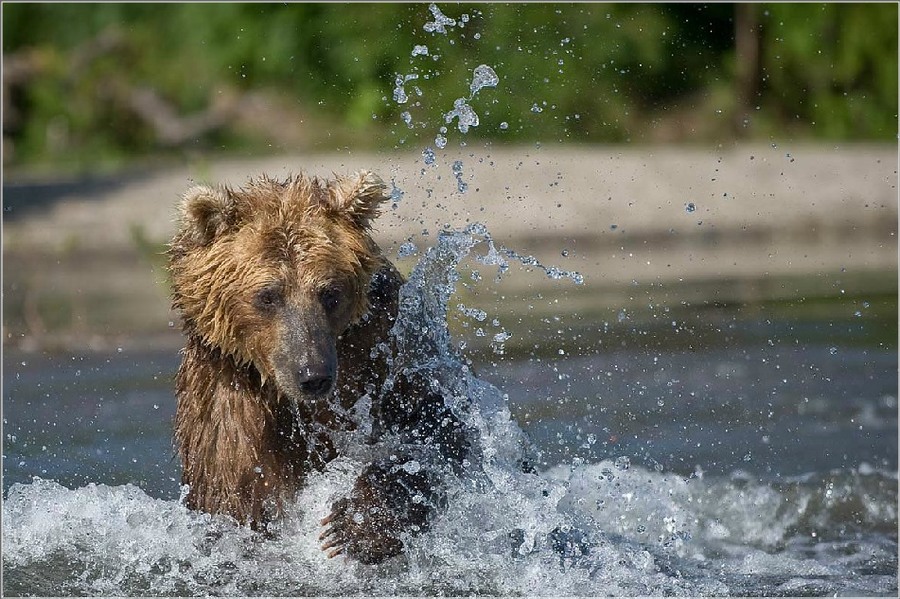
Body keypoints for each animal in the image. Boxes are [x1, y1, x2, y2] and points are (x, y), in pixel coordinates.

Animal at [171, 171, 474, 564]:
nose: (312, 376)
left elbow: (435, 429)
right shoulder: (227, 399)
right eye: (268, 295)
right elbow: (232, 494)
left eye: (329, 292)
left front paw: (355, 524)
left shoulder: (385, 350)